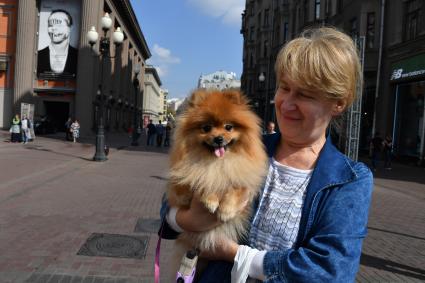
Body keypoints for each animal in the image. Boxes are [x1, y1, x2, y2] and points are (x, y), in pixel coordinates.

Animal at [165, 89, 266, 276]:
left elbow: (235, 189)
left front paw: (226, 210)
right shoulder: (184, 183)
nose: (218, 138)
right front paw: (210, 200)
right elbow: (200, 182)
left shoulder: (244, 181)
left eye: (229, 127)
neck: (218, 163)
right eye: (206, 128)